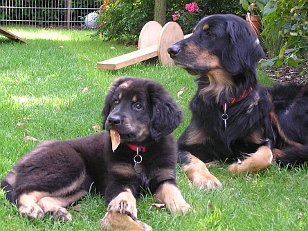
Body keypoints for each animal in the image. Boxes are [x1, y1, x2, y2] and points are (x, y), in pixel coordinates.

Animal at [0, 76, 190, 220]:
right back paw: (30, 209)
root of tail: (20, 163)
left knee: (44, 197)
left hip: (84, 185)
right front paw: (123, 204)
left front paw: (182, 207)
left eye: (138, 106)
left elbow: (173, 191)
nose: (112, 120)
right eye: (115, 102)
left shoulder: (165, 177)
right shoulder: (117, 179)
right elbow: (123, 193)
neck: (140, 150)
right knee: (21, 190)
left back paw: (58, 213)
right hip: (69, 166)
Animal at [168, 14, 308, 189]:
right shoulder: (183, 145)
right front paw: (206, 178)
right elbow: (193, 160)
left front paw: (239, 165)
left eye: (209, 33)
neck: (225, 100)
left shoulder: (264, 139)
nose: (170, 50)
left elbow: (265, 155)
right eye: (194, 31)